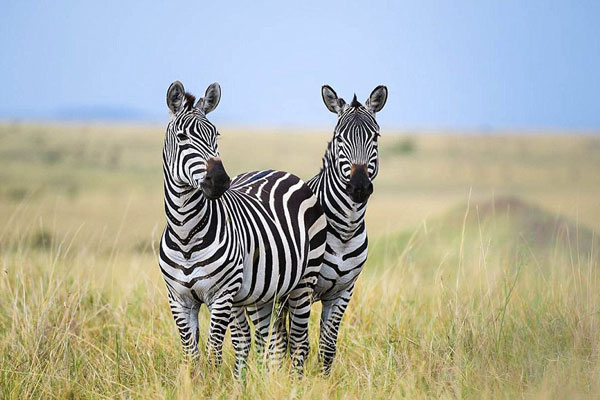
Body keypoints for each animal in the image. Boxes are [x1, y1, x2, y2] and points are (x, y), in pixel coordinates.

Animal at [159, 80, 326, 376]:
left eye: (215, 135)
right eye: (182, 137)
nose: (220, 181)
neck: (186, 234)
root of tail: (283, 172)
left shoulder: (221, 295)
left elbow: (213, 352)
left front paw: (212, 383)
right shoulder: (178, 299)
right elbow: (190, 355)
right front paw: (193, 382)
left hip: (303, 282)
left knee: (299, 342)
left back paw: (294, 382)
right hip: (263, 293)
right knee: (267, 341)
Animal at [310, 84, 390, 376]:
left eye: (375, 138)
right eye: (339, 139)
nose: (359, 187)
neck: (345, 228)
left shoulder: (343, 291)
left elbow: (327, 346)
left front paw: (324, 379)